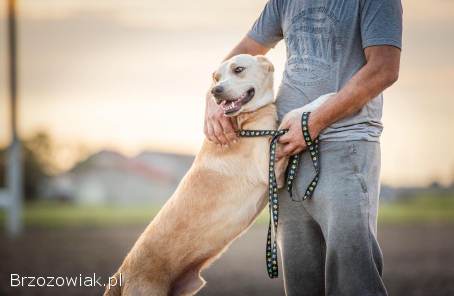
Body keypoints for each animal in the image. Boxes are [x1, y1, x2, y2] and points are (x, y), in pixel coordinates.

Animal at [104, 54, 332, 294]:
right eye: (216, 78)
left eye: (238, 69)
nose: (216, 91)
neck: (244, 122)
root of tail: (120, 275)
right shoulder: (270, 166)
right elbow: (291, 115)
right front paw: (324, 99)